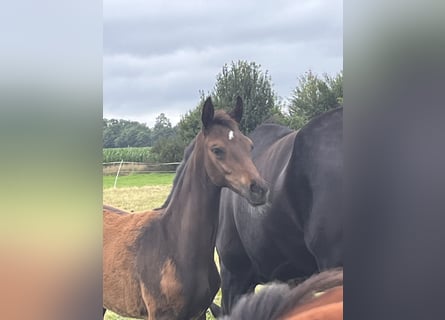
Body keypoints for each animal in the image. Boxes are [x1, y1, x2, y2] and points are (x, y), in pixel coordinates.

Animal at [102, 97, 268, 320]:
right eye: (217, 149)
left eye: (249, 146)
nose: (259, 189)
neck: (174, 243)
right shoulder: (160, 315)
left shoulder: (199, 312)